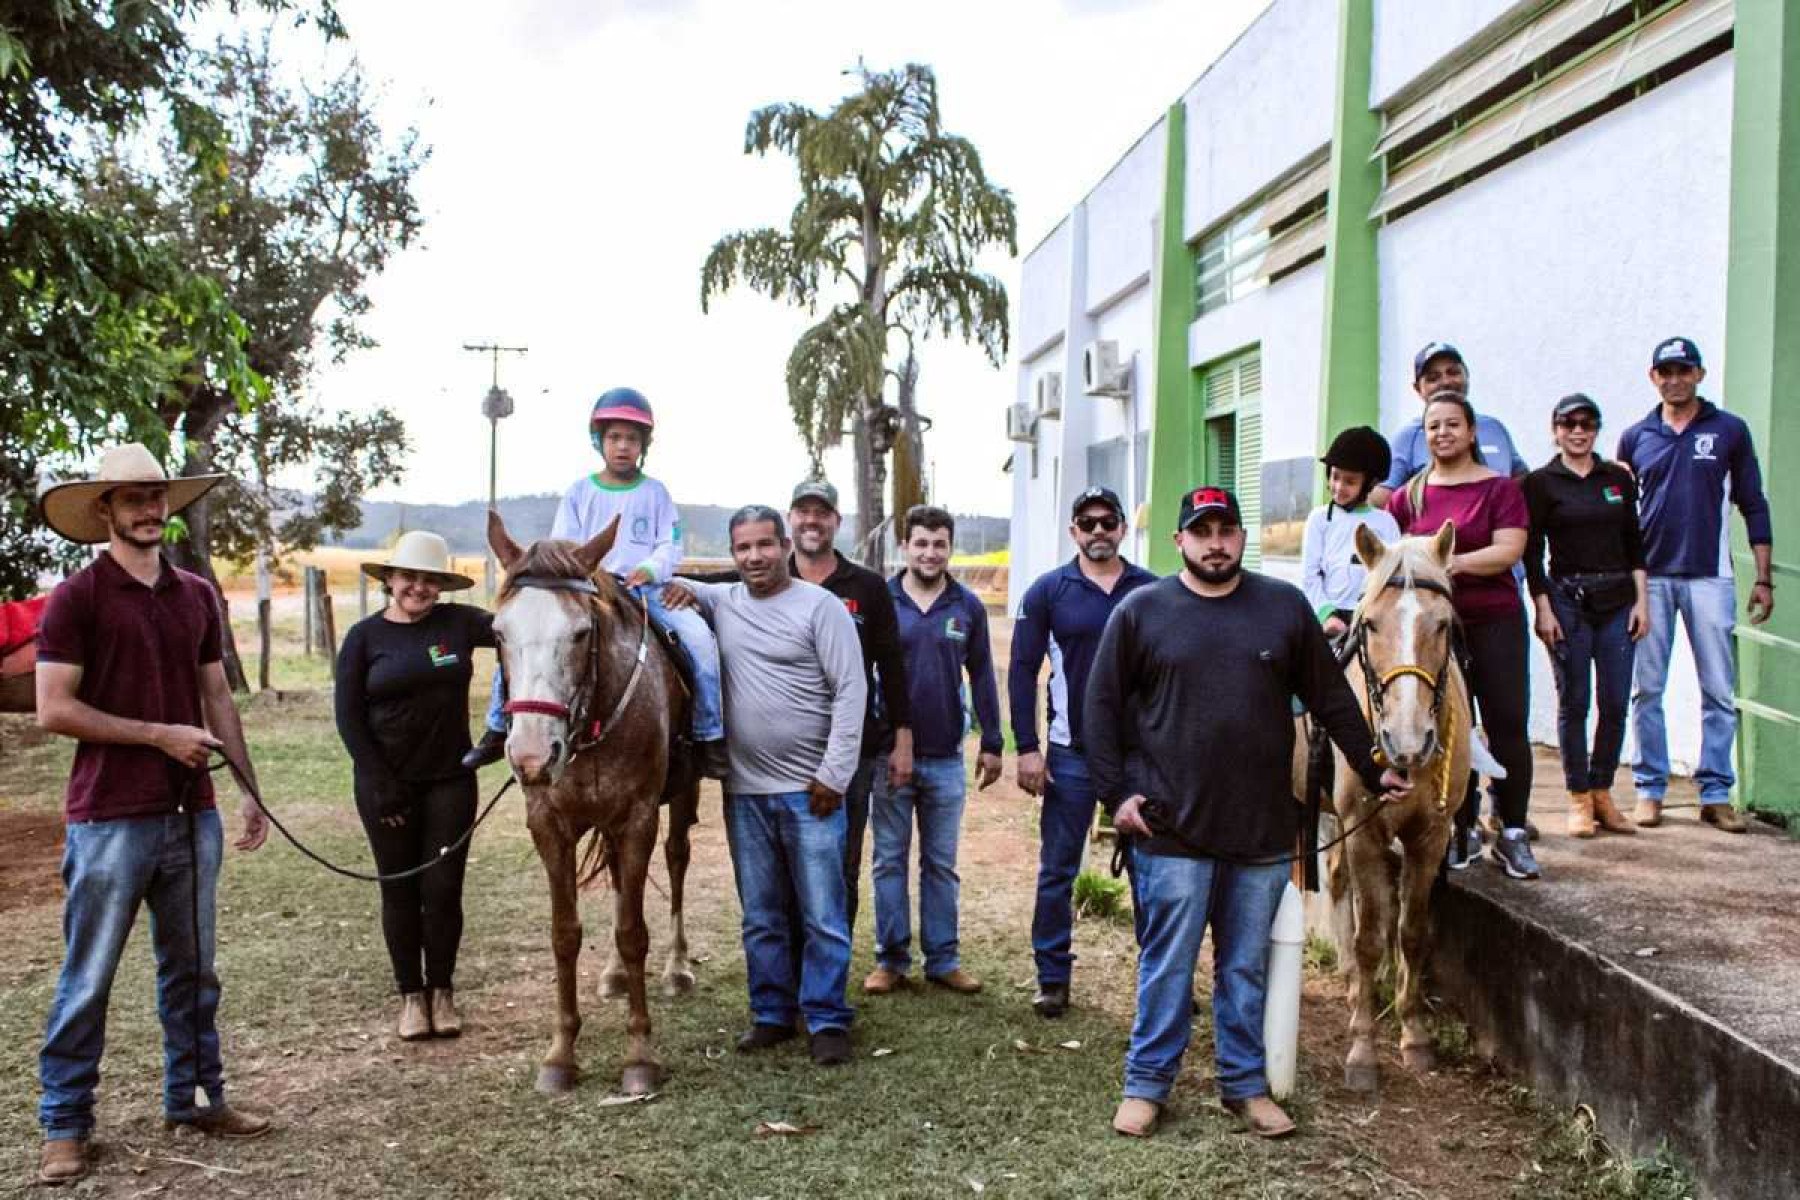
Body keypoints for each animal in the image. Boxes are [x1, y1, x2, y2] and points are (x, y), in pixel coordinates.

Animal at [489, 510, 698, 1093]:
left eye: (581, 633)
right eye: (498, 633)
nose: (531, 755)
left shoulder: (638, 819)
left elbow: (633, 932)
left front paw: (640, 1056)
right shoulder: (549, 825)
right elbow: (565, 934)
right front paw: (560, 1055)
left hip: (682, 795)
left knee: (677, 859)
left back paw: (677, 968)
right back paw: (614, 976)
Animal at [1310, 521, 1476, 1093]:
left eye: (1443, 625)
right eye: (1371, 624)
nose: (1406, 742)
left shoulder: (1431, 836)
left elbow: (1411, 931)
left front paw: (1414, 1036)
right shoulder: (1364, 832)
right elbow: (1369, 938)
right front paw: (1363, 1050)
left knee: (1338, 880)